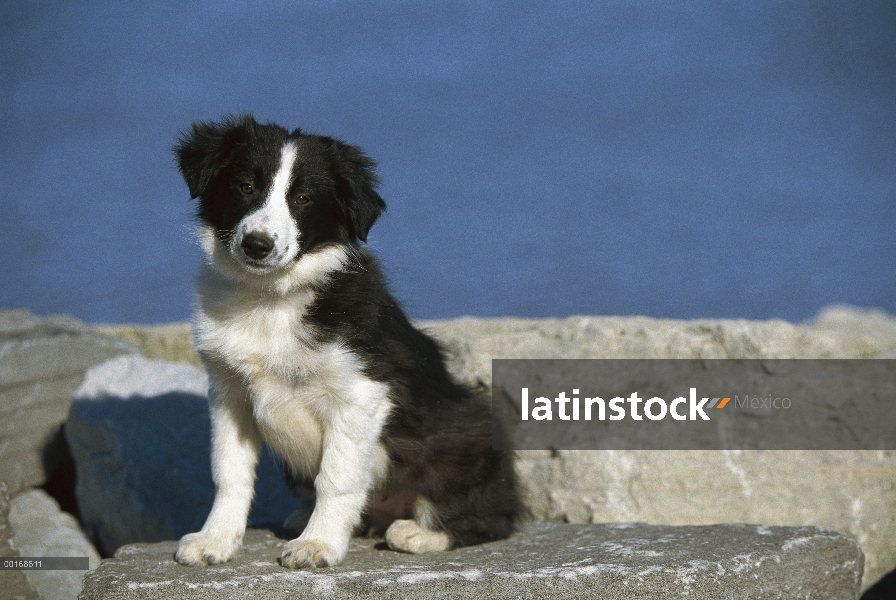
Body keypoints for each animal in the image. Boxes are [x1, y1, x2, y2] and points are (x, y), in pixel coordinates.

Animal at [172, 116, 520, 568]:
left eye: (303, 198)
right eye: (245, 186)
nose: (257, 245)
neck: (270, 299)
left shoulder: (358, 391)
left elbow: (335, 477)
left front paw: (318, 545)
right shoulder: (229, 392)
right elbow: (229, 472)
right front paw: (215, 539)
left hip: (468, 429)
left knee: (492, 518)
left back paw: (418, 533)